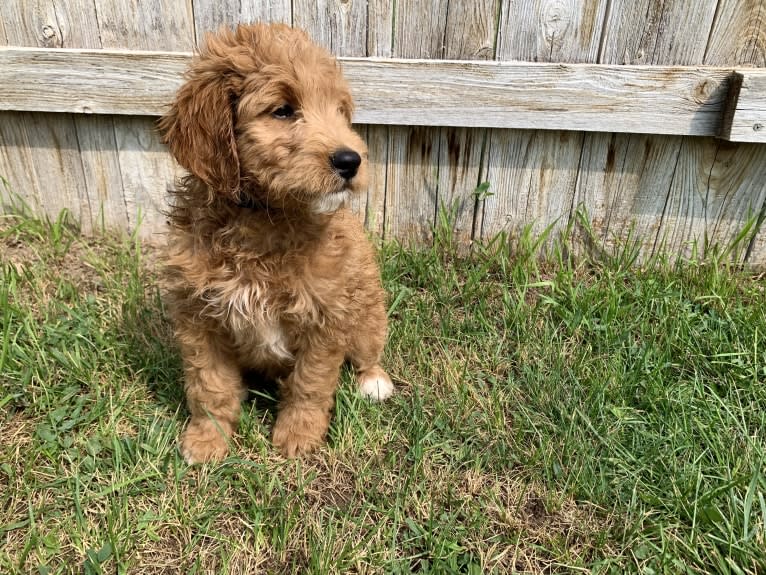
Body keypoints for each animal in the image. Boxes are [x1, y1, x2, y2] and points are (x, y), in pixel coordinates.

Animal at [158, 23, 392, 464]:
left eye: (339, 111)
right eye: (283, 110)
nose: (351, 161)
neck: (262, 220)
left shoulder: (326, 317)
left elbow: (310, 384)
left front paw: (298, 435)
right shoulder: (199, 318)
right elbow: (210, 384)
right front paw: (208, 438)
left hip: (367, 313)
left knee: (368, 353)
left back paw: (375, 383)